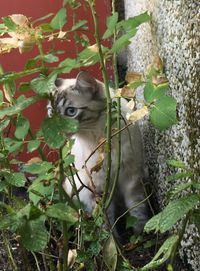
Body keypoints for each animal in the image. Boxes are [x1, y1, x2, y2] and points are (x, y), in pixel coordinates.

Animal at [47, 71, 148, 235]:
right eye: (51, 113)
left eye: (71, 112)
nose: (58, 130)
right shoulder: (99, 186)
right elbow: (105, 220)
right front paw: (112, 240)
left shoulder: (132, 179)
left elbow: (138, 211)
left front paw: (141, 234)